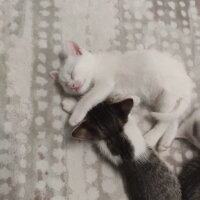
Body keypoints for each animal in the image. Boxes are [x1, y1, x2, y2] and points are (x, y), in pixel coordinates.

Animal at [50, 40, 194, 150]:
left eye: (71, 73)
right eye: (65, 85)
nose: (72, 86)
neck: (97, 66)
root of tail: (187, 86)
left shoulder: (105, 83)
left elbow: (88, 98)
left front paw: (76, 115)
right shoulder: (113, 93)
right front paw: (70, 104)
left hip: (167, 95)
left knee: (164, 121)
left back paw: (151, 138)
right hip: (163, 101)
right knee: (172, 119)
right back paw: (166, 142)